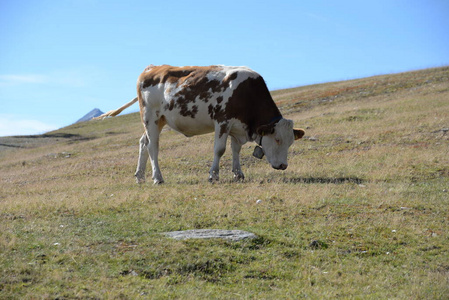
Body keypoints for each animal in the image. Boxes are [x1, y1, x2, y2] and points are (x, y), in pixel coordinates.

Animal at [96, 64, 302, 184]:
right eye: (277, 139)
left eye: (290, 142)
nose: (283, 165)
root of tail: (152, 68)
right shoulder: (222, 121)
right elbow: (220, 150)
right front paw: (213, 175)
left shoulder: (237, 127)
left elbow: (236, 150)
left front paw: (238, 174)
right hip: (150, 117)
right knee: (152, 146)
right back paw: (157, 178)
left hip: (158, 120)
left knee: (143, 142)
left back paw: (140, 176)